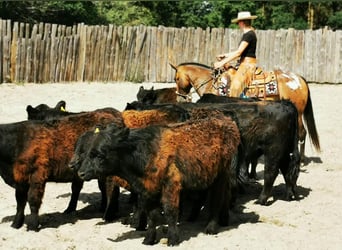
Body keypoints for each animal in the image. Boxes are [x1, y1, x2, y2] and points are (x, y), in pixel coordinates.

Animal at [171, 61, 320, 163]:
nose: (180, 98)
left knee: (302, 133)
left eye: (176, 78)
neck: (212, 84)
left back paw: (301, 160)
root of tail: (299, 78)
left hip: (299, 113)